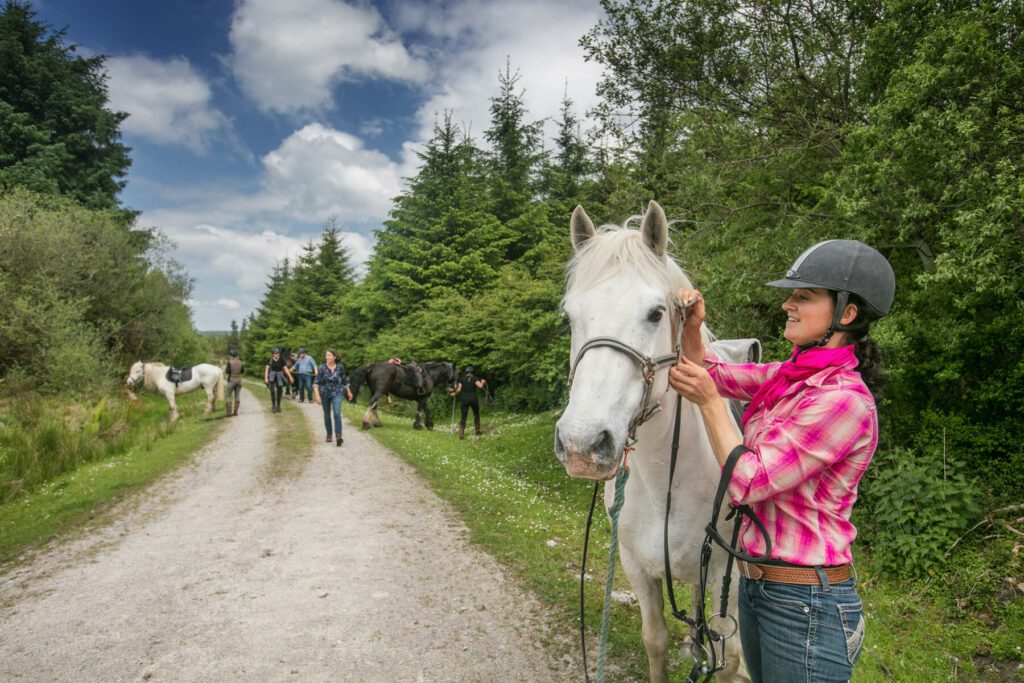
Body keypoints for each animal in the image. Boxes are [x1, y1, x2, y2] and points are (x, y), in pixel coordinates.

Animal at [552, 204, 761, 683]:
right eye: (570, 316)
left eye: (655, 313)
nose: (581, 443)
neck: (669, 481)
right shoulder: (635, 565)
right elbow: (656, 639)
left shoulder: (725, 576)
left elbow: (729, 660)